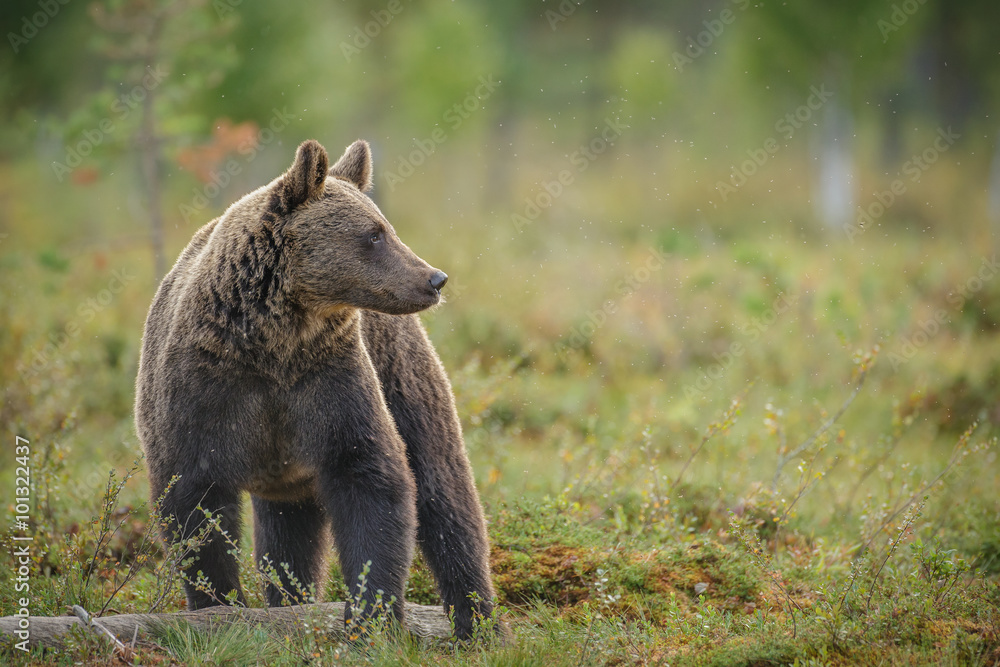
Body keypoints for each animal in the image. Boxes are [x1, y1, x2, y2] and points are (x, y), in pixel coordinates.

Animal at [136, 138, 500, 640]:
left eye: (384, 227)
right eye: (374, 235)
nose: (434, 278)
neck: (275, 341)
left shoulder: (329, 383)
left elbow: (371, 477)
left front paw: (370, 616)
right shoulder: (207, 390)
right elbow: (193, 504)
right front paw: (218, 607)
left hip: (400, 373)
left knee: (445, 489)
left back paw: (479, 623)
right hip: (284, 472)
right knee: (288, 536)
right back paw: (290, 603)